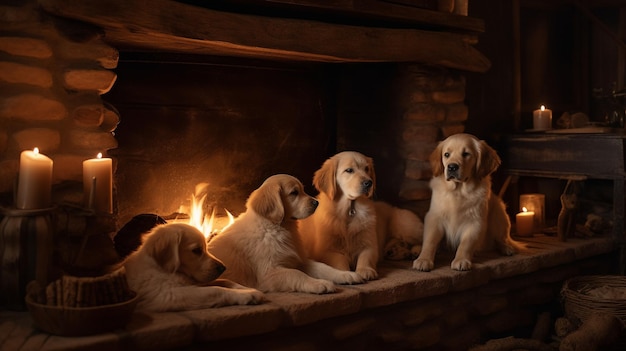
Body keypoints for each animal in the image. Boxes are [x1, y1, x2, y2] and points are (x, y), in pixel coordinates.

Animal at [124, 224, 264, 312]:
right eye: (196, 250)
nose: (223, 268)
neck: (162, 268)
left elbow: (224, 281)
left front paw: (245, 288)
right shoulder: (165, 295)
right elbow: (215, 290)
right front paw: (248, 295)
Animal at [207, 174, 364, 294]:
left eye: (303, 190)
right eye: (294, 193)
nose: (316, 203)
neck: (276, 228)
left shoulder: (298, 260)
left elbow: (323, 267)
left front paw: (346, 274)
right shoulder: (269, 273)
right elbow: (296, 274)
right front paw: (319, 284)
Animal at [296, 151, 422, 280]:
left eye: (367, 169)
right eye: (349, 170)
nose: (369, 183)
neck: (350, 209)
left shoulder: (369, 243)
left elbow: (365, 257)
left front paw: (365, 270)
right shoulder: (327, 250)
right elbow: (339, 259)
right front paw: (345, 273)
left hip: (406, 226)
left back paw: (417, 253)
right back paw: (396, 250)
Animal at [410, 133, 520, 274]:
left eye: (466, 154)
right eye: (446, 154)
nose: (452, 167)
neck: (458, 191)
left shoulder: (475, 222)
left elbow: (466, 244)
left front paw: (461, 260)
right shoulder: (434, 217)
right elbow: (430, 241)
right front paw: (423, 259)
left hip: (499, 214)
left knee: (501, 239)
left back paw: (507, 248)